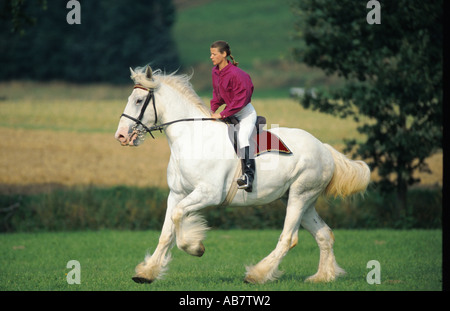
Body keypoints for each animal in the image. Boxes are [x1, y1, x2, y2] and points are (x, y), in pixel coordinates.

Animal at [114, 66, 370, 286]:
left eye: (138, 101)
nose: (121, 136)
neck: (192, 139)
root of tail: (323, 148)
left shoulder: (207, 194)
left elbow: (178, 220)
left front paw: (195, 247)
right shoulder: (176, 194)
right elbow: (166, 233)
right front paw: (147, 273)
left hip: (300, 195)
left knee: (288, 238)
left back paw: (257, 275)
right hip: (297, 199)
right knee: (325, 235)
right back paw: (323, 277)